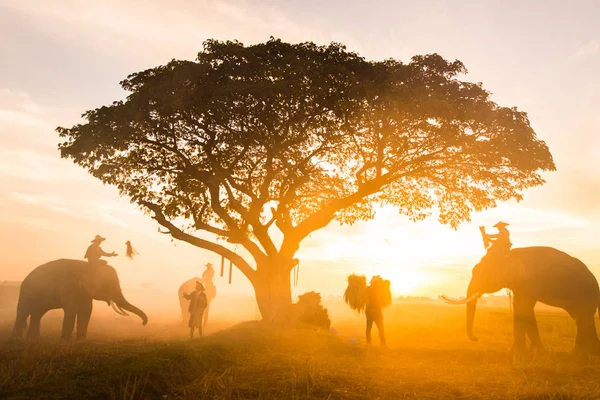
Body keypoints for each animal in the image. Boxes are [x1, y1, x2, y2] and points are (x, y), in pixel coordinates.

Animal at [12, 260, 148, 340]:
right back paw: (17, 339)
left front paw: (81, 340)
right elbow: (71, 310)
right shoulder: (68, 287)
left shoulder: (85, 292)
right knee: (23, 312)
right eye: (107, 285)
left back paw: (32, 339)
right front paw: (65, 341)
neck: (87, 266)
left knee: (37, 314)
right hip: (26, 292)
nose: (143, 323)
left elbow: (86, 310)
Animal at [440, 247, 600, 356]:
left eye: (484, 274)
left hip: (585, 293)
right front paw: (525, 352)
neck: (508, 254)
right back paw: (589, 353)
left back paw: (579, 354)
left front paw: (528, 353)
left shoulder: (528, 282)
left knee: (582, 318)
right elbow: (521, 308)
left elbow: (524, 308)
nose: (477, 338)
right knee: (581, 318)